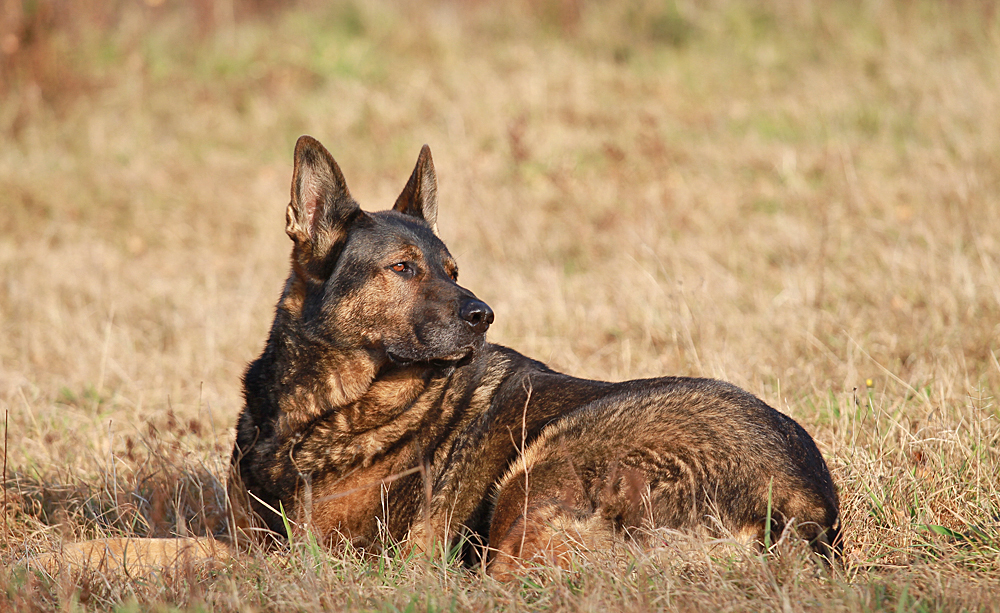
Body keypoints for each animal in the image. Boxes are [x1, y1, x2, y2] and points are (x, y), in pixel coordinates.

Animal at [225, 135, 836, 572]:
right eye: (402, 268)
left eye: (453, 271)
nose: (484, 315)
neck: (317, 410)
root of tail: (804, 506)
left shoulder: (315, 550)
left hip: (542, 468)